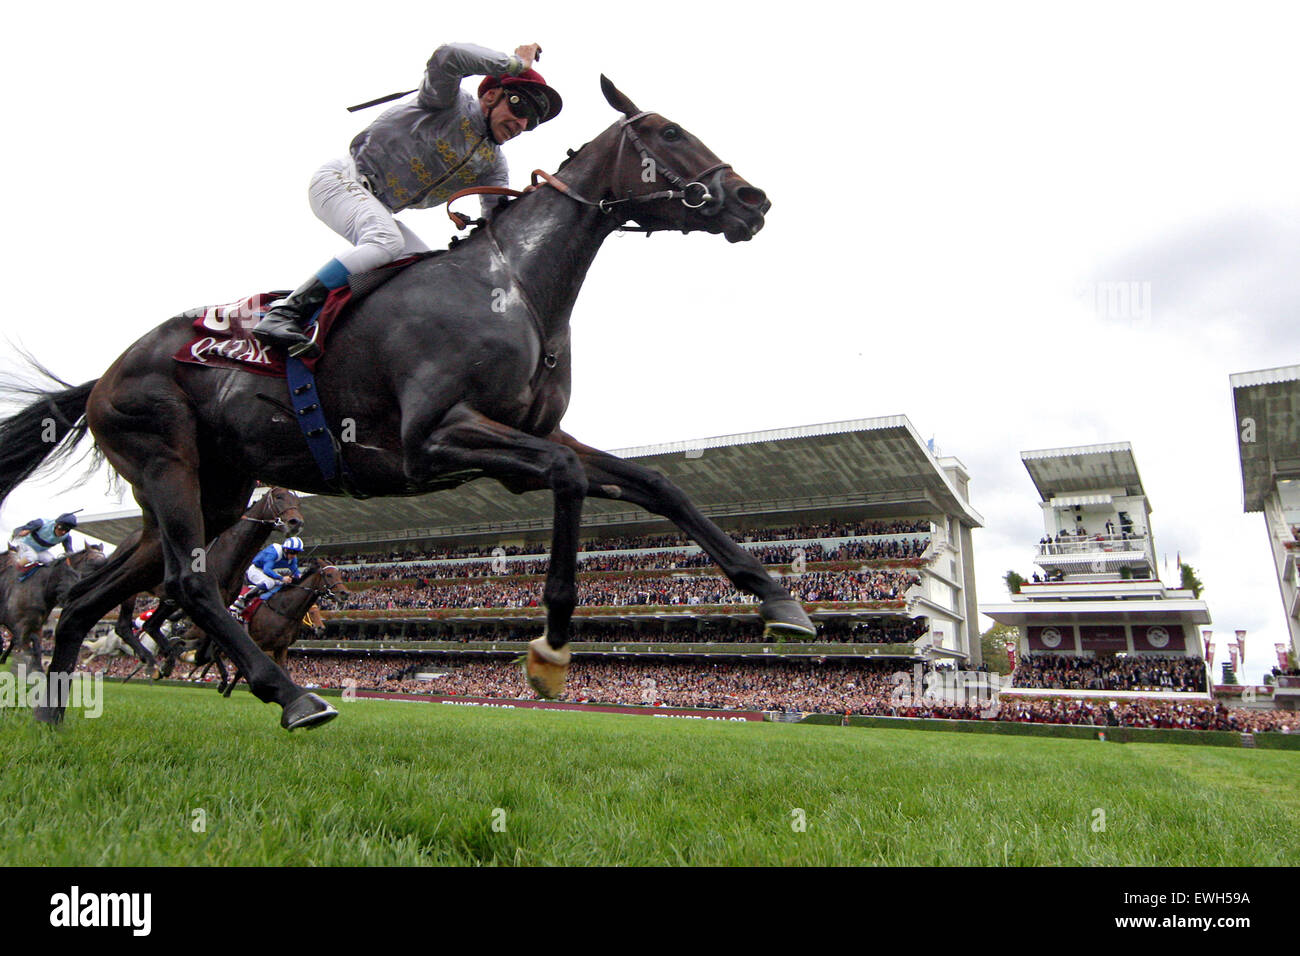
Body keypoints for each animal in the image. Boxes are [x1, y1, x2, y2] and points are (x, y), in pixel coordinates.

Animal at [0, 76, 811, 733]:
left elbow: (656, 482)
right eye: (669, 131)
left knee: (88, 598)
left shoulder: (532, 434)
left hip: (214, 490)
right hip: (165, 459)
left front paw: (776, 597)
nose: (753, 200)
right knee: (189, 582)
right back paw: (293, 695)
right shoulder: (434, 440)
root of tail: (103, 377)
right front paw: (550, 648)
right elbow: (570, 479)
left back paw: (54, 719)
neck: (513, 288)